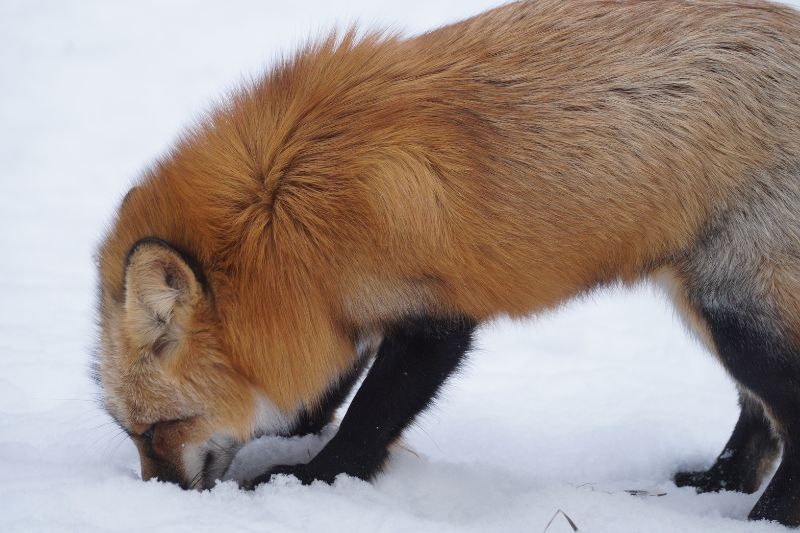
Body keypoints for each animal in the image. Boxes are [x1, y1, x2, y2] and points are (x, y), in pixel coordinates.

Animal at [96, 0, 800, 526]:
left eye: (160, 428)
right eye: (132, 433)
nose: (158, 501)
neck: (284, 203)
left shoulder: (434, 321)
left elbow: (367, 421)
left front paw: (313, 479)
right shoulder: (342, 311)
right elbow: (321, 397)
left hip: (733, 311)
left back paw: (768, 517)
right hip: (705, 302)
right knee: (759, 421)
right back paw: (716, 486)